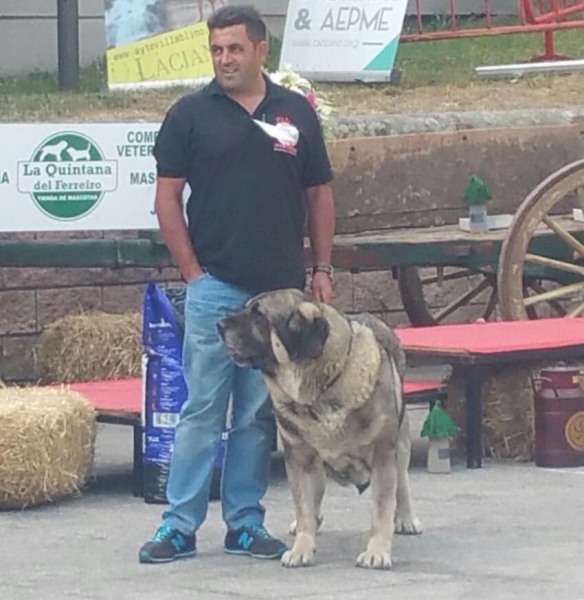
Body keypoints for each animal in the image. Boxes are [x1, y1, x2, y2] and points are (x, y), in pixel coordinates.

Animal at [217, 288, 422, 568]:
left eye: (259, 315)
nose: (219, 324)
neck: (318, 388)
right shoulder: (300, 459)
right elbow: (303, 505)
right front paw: (301, 547)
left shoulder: (382, 456)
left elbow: (381, 508)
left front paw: (376, 552)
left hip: (399, 445)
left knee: (402, 482)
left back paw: (406, 518)